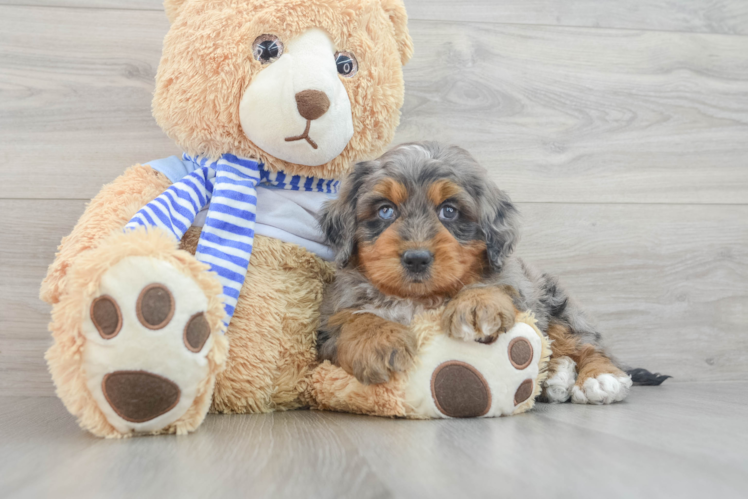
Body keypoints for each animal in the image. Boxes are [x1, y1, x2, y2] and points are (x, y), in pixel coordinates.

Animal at [316, 142, 668, 406]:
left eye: (449, 210)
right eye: (385, 210)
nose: (416, 259)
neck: (419, 298)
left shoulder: (517, 286)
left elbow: (492, 286)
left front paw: (476, 305)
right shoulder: (330, 315)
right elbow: (351, 318)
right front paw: (376, 341)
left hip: (556, 303)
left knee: (586, 345)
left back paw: (598, 377)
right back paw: (555, 376)